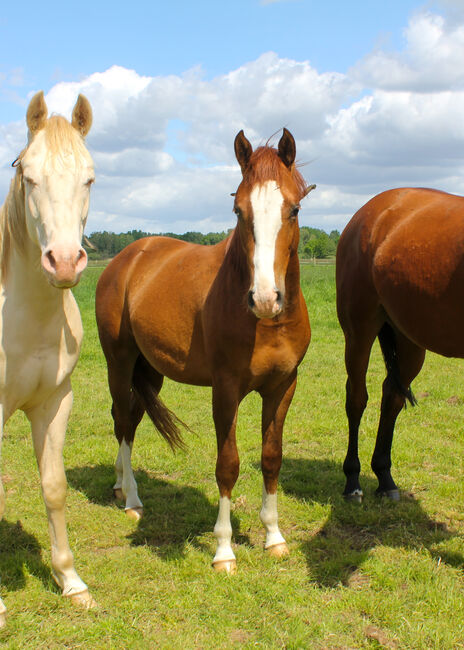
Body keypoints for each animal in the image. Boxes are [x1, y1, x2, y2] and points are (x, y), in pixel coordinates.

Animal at [97, 128, 316, 572]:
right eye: (238, 210)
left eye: (294, 209)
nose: (264, 298)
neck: (265, 324)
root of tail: (125, 260)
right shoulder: (226, 390)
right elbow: (227, 465)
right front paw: (224, 550)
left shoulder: (283, 387)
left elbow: (272, 457)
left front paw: (274, 537)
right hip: (119, 363)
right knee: (123, 421)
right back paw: (132, 499)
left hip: (151, 372)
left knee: (130, 419)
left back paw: (119, 485)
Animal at [336, 187, 464, 502]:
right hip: (359, 332)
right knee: (356, 398)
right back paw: (353, 481)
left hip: (408, 340)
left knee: (391, 396)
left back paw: (385, 477)